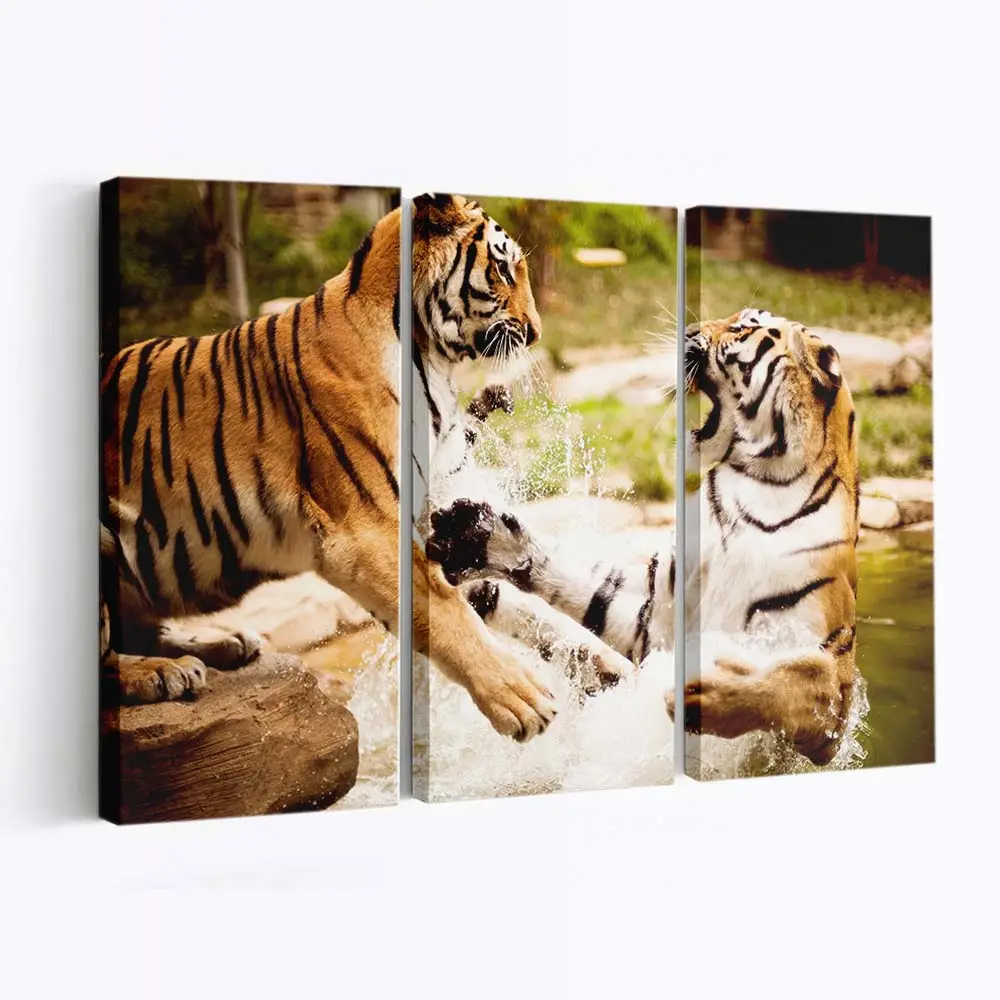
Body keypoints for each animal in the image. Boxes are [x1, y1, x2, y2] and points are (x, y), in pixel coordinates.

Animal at [99, 192, 556, 743]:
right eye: (504, 269)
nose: (535, 332)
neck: (429, 356)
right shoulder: (366, 529)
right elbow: (450, 614)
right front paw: (523, 698)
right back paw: (161, 672)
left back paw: (224, 644)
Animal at [426, 307, 861, 765]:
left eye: (743, 327)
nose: (689, 330)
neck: (751, 490)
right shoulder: (656, 615)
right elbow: (587, 585)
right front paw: (478, 537)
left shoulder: (831, 694)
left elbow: (792, 679)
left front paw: (708, 693)